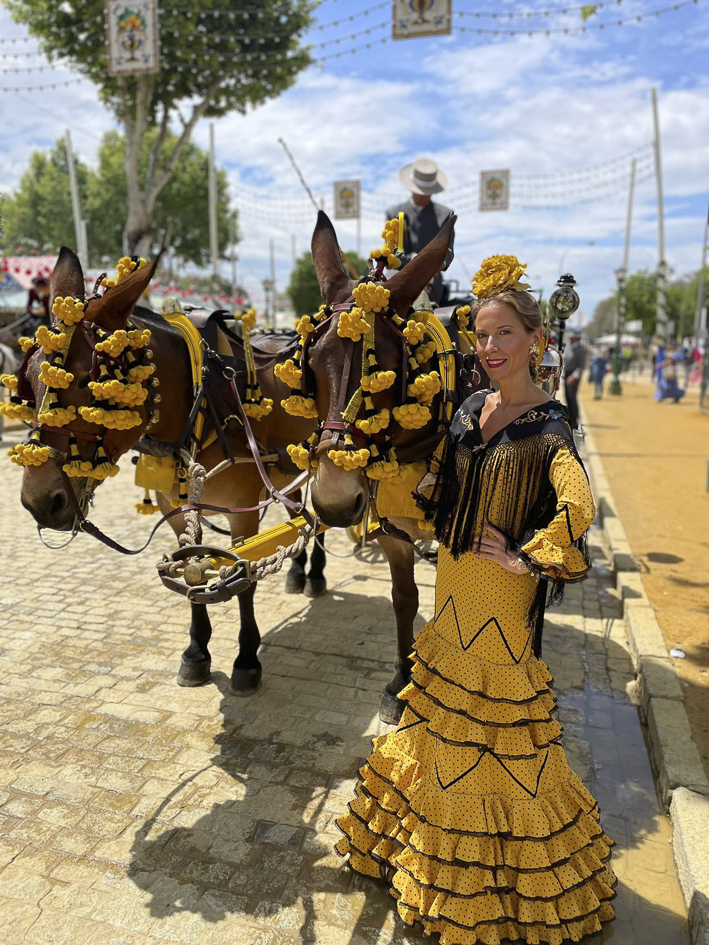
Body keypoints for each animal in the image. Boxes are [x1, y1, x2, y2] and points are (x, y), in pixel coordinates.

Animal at [16, 247, 326, 695]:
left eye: (94, 385)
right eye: (28, 382)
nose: (39, 501)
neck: (201, 403)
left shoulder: (244, 512)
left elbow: (245, 578)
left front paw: (247, 660)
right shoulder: (175, 508)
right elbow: (190, 572)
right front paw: (196, 655)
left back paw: (315, 574)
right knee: (297, 513)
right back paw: (299, 573)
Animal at [304, 211, 476, 723]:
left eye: (384, 369)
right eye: (312, 363)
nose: (335, 502)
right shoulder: (389, 527)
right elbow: (405, 600)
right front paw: (401, 677)